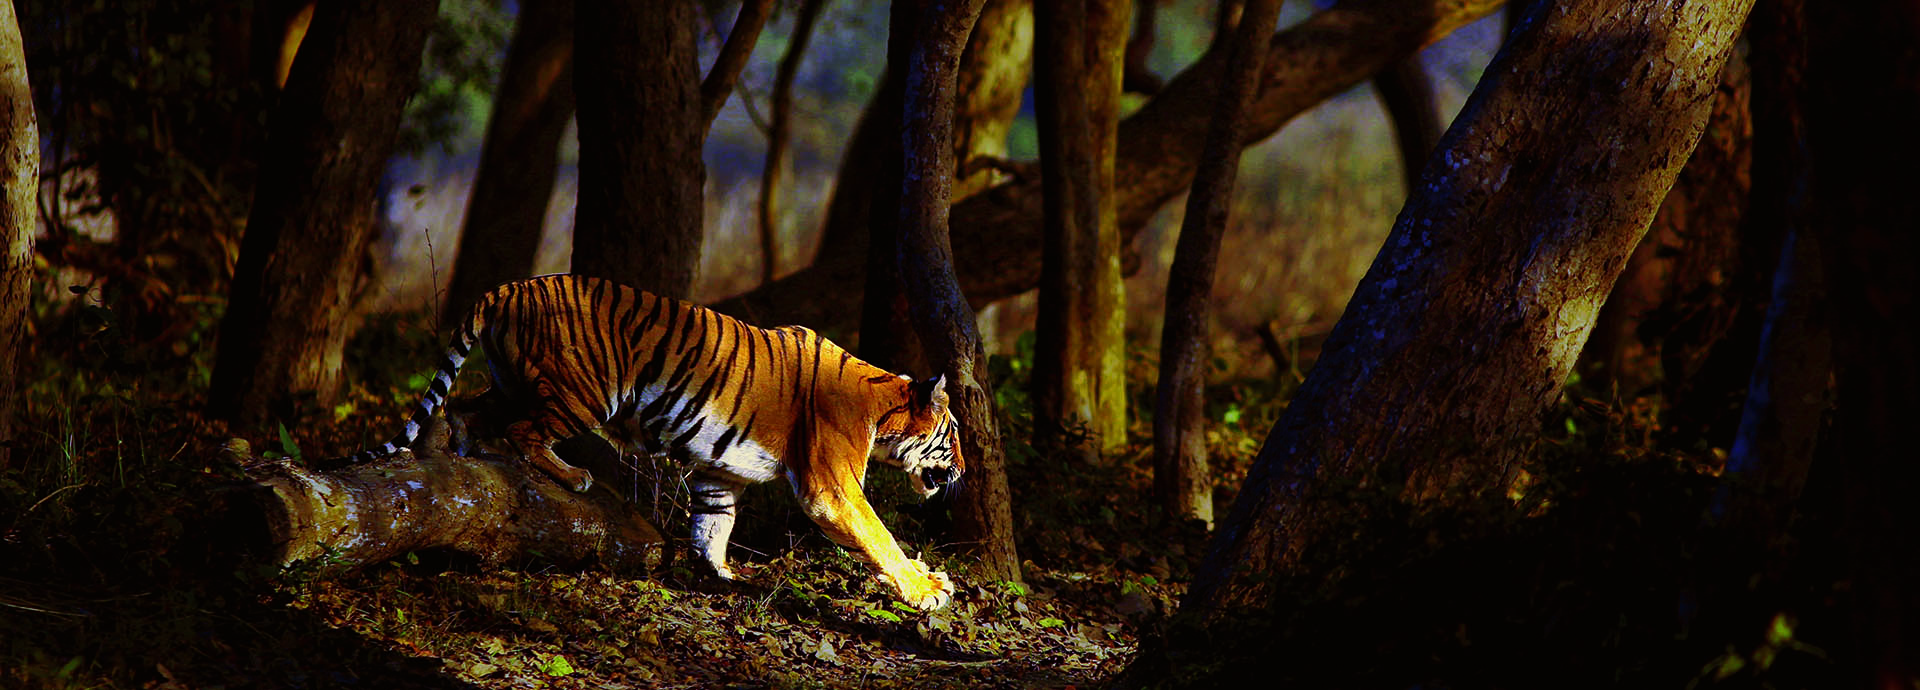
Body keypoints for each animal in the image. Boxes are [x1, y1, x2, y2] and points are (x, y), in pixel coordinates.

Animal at [349, 274, 963, 610]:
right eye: (953, 435)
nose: (961, 471)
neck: (879, 408)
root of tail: (513, 286)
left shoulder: (721, 471)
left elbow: (714, 525)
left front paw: (723, 576)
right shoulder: (831, 487)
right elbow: (880, 536)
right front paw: (924, 589)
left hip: (512, 381)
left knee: (462, 408)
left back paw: (460, 450)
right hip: (584, 391)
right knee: (524, 432)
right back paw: (571, 475)